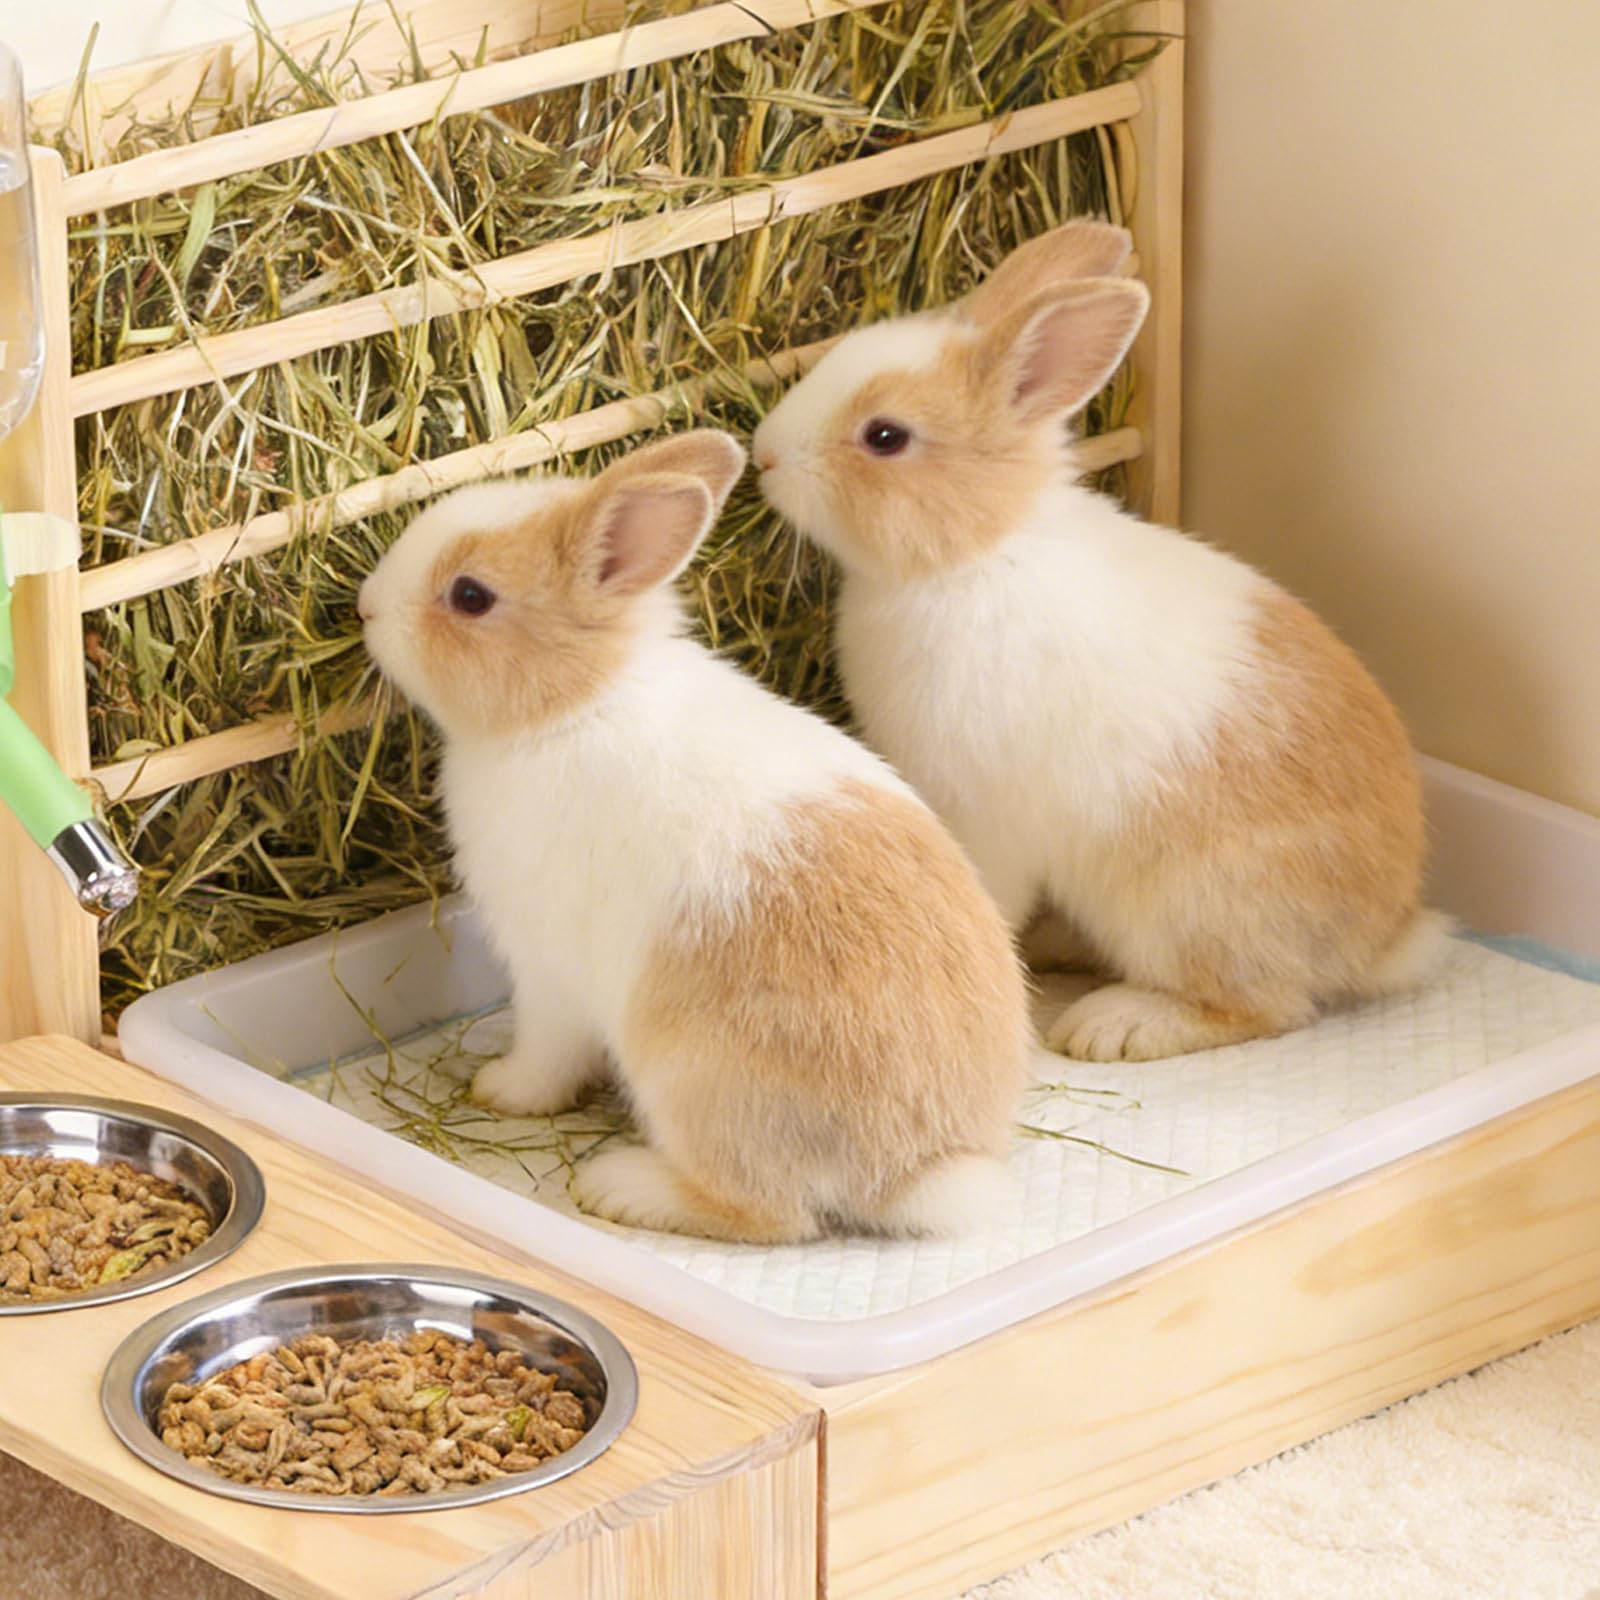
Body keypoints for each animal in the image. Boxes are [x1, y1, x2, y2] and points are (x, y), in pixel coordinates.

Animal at [358, 429, 1030, 1243]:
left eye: (470, 596)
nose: (364, 607)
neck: (577, 702)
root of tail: (918, 1170)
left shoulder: (547, 969)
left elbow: (548, 1049)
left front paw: (502, 1090)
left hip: (694, 1085)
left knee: (768, 1213)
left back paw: (619, 1188)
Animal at [751, 219, 1449, 1064]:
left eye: (885, 436)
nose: (762, 453)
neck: (978, 553)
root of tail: (1382, 939)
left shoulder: (982, 812)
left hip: (1186, 912)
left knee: (1262, 1008)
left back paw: (1112, 1026)